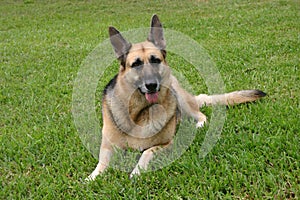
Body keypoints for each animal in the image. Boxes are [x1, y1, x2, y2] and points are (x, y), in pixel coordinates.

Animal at [85, 14, 266, 180]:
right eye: (136, 64)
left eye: (155, 60)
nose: (152, 85)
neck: (139, 113)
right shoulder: (107, 147)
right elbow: (101, 162)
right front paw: (91, 177)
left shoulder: (165, 144)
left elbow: (146, 152)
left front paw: (137, 171)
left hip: (180, 97)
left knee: (201, 115)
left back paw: (198, 125)